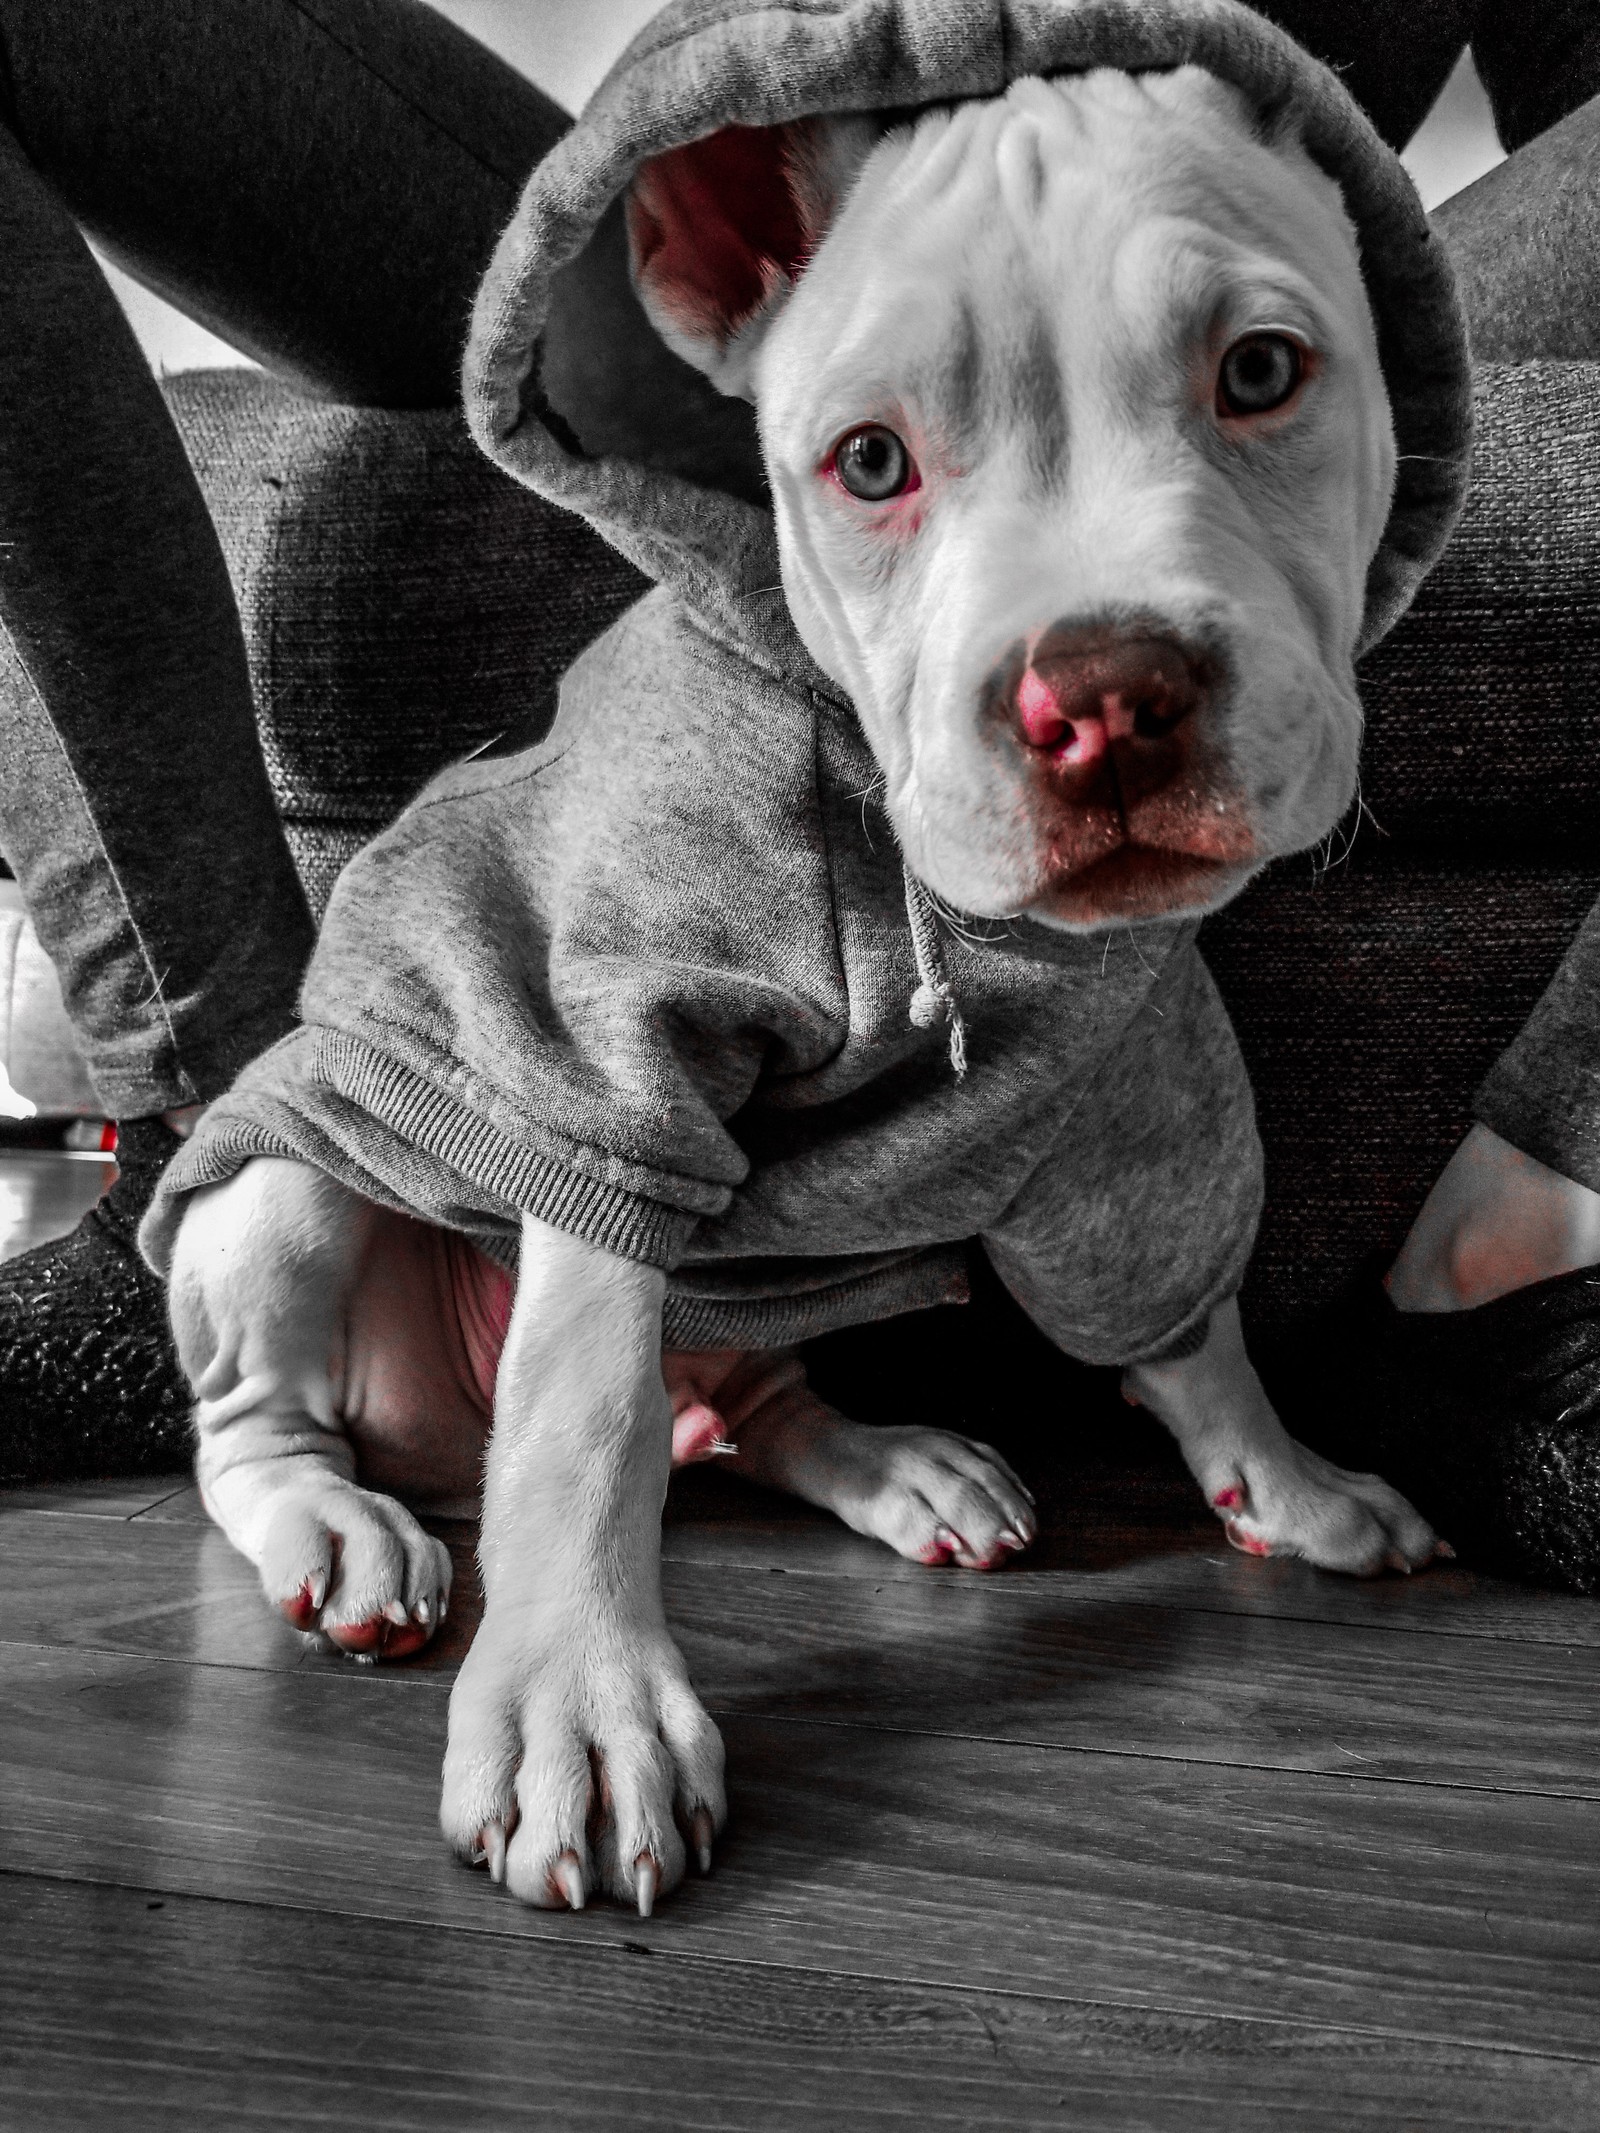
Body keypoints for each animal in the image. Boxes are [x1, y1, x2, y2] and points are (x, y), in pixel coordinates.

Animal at [150, 4, 1476, 1919]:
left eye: (1261, 374)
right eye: (868, 465)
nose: (1103, 696)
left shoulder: (1135, 1087)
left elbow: (1185, 1315)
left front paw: (1287, 1485)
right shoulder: (612, 1048)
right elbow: (580, 1408)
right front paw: (578, 1708)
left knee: (741, 1399)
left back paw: (891, 1461)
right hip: (294, 1178)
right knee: (271, 1416)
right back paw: (338, 1526)